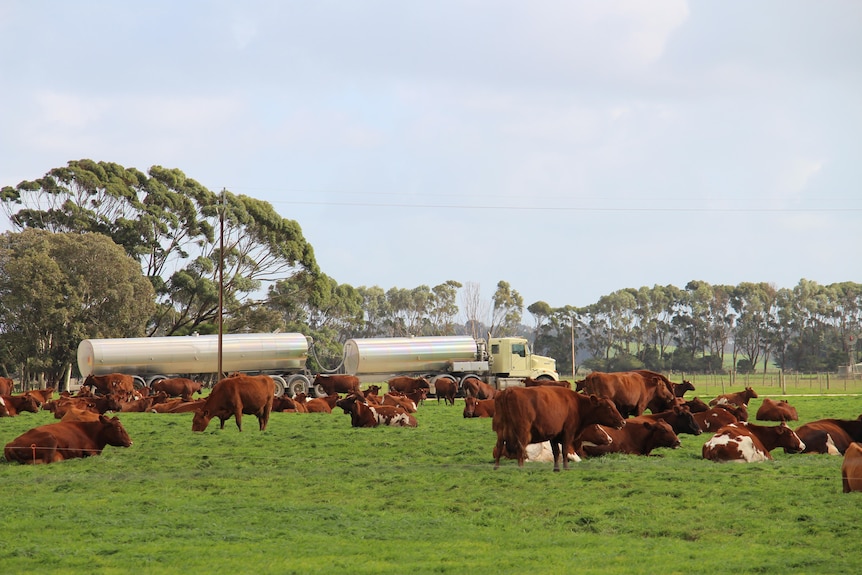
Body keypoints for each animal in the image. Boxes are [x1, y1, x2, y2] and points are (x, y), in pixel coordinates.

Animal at [492, 388, 628, 472]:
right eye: (609, 408)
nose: (623, 422)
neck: (577, 405)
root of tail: (508, 390)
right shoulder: (568, 432)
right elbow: (565, 451)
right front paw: (566, 468)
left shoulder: (554, 435)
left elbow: (556, 452)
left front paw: (556, 469)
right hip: (522, 432)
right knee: (520, 450)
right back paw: (521, 468)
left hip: (500, 431)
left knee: (499, 448)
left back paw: (496, 468)